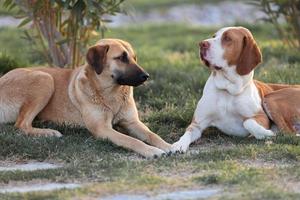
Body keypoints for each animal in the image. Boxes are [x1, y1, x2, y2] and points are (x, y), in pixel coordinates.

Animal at [0, 38, 171, 158]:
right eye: (122, 58)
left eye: (134, 58)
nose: (146, 76)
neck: (110, 93)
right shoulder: (102, 129)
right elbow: (132, 140)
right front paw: (152, 151)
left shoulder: (132, 123)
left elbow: (151, 134)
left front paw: (169, 146)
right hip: (44, 78)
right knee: (21, 125)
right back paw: (49, 132)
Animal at [171, 26, 300, 152]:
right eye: (214, 36)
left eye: (227, 38)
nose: (202, 44)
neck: (227, 89)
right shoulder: (197, 124)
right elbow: (186, 134)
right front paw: (177, 145)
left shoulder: (261, 117)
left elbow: (248, 122)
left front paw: (266, 133)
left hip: (270, 98)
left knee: (288, 132)